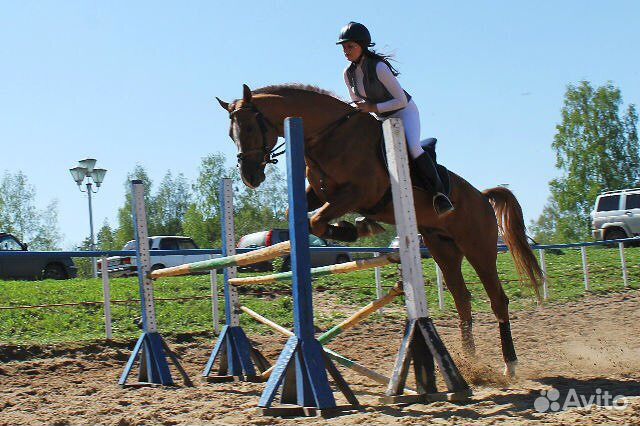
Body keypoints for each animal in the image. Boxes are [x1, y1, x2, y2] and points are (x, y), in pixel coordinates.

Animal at [218, 83, 544, 376]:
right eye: (231, 134)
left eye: (249, 129)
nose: (250, 177)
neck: (328, 135)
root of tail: (482, 196)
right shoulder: (321, 193)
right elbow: (298, 214)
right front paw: (355, 227)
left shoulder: (359, 193)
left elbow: (318, 220)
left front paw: (353, 230)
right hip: (443, 248)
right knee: (462, 299)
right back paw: (470, 362)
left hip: (479, 248)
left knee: (497, 298)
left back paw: (509, 364)